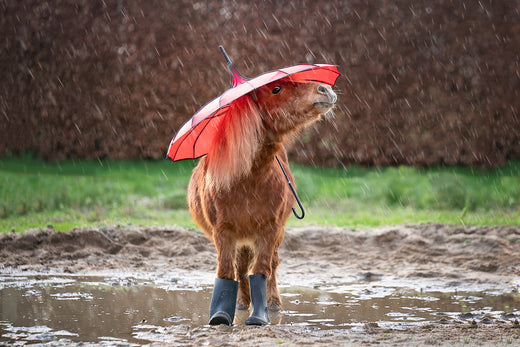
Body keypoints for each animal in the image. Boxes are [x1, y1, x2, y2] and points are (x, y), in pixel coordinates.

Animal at [187, 77, 338, 326]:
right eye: (276, 89)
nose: (324, 89)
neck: (246, 180)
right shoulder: (223, 232)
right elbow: (226, 271)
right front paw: (221, 315)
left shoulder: (270, 229)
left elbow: (262, 268)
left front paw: (260, 316)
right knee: (240, 267)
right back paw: (241, 303)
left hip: (274, 234)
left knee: (271, 265)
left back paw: (273, 303)